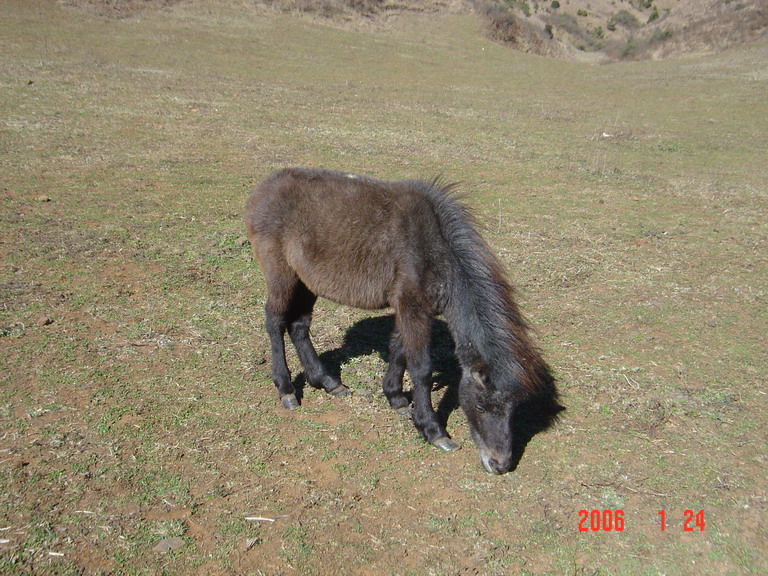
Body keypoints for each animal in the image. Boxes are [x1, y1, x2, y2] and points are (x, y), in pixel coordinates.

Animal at [246, 168, 552, 472]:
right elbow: (421, 368)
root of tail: (262, 189)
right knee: (275, 322)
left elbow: (399, 351)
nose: (499, 464)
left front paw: (396, 398)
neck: (432, 247)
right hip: (281, 275)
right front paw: (433, 430)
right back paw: (286, 390)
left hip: (306, 282)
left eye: (512, 409)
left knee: (299, 325)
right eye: (480, 407)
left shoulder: (410, 311)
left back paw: (327, 382)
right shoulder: (412, 308)